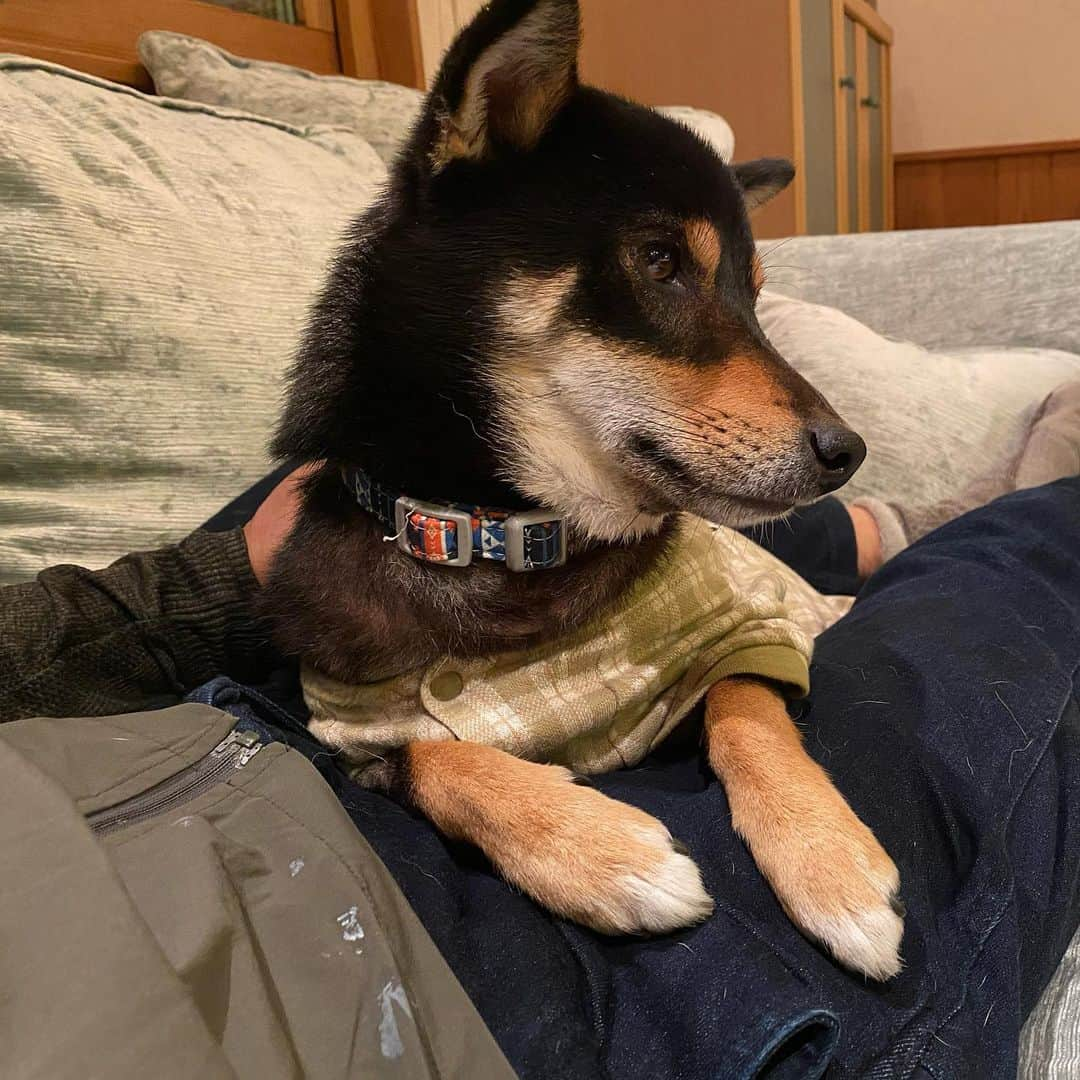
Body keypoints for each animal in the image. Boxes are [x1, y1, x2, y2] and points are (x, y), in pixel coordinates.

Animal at [267, 0, 902, 980]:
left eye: (755, 298)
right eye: (659, 260)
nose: (849, 450)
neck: (510, 535)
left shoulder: (741, 633)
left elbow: (750, 712)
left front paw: (831, 863)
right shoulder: (344, 733)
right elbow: (436, 757)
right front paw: (595, 851)